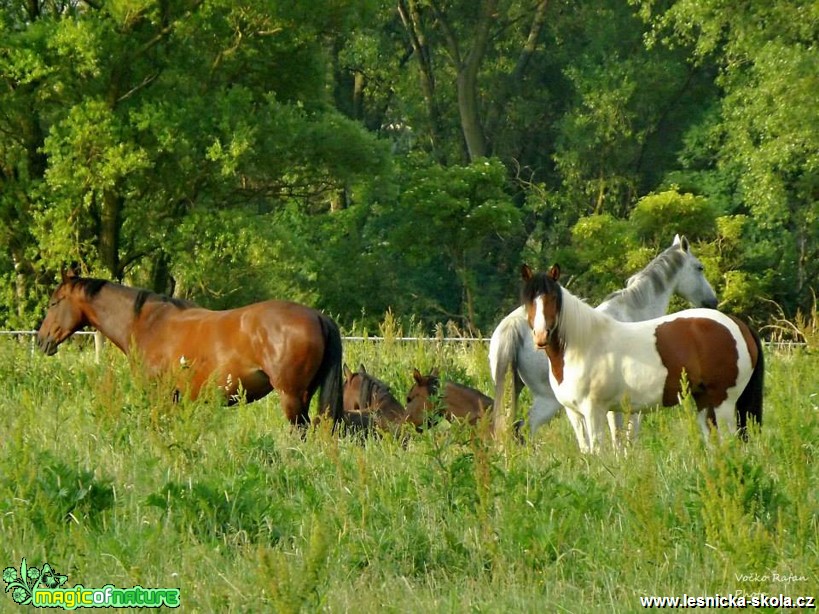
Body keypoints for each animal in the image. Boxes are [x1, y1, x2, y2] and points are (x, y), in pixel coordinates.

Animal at [36, 270, 344, 428]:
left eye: (54, 302)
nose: (41, 340)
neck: (148, 323)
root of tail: (318, 316)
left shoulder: (160, 396)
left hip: (292, 397)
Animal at [524, 262, 764, 454]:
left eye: (553, 298)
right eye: (529, 301)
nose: (541, 336)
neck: (582, 345)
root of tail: (738, 324)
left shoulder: (594, 411)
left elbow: (598, 451)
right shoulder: (574, 413)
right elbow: (588, 451)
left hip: (724, 403)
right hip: (705, 402)